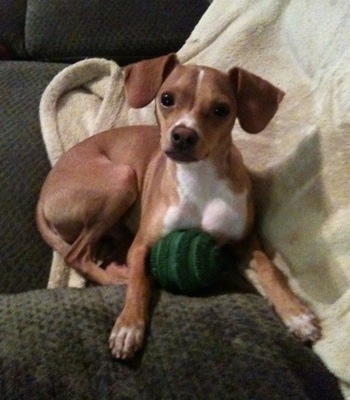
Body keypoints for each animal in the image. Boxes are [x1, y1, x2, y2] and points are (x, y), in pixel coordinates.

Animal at [37, 54, 322, 360]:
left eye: (221, 109)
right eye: (166, 99)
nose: (183, 135)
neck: (200, 179)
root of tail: (43, 194)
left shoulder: (246, 241)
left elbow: (270, 270)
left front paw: (296, 314)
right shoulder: (142, 244)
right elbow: (139, 284)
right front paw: (128, 327)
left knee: (102, 255)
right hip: (122, 179)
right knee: (77, 255)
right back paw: (122, 279)